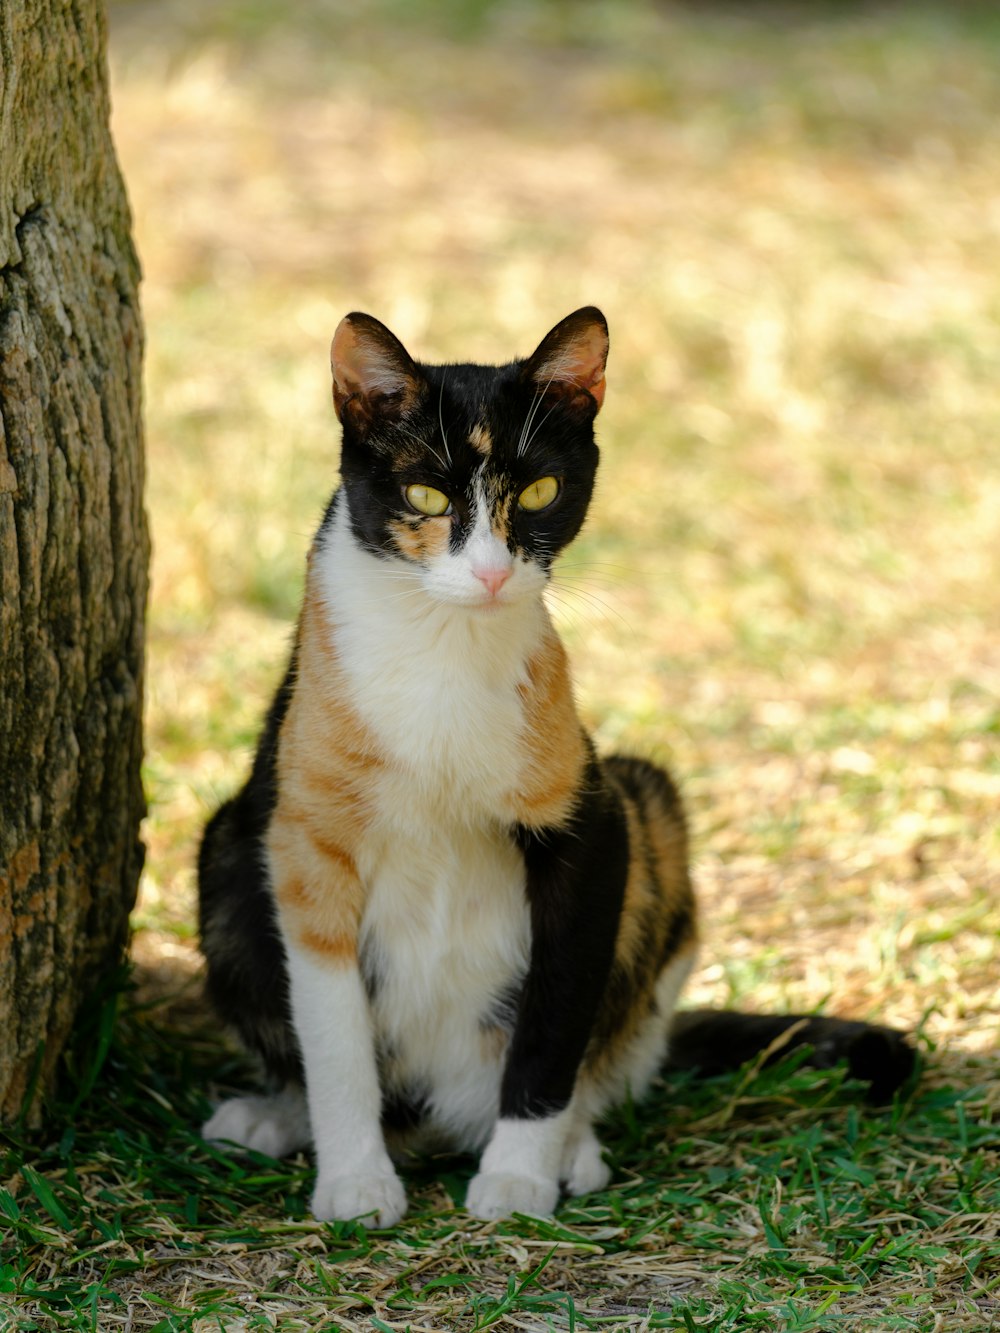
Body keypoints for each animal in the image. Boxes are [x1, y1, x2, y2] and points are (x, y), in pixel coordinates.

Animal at [197, 306, 917, 1221]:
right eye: (426, 495)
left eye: (539, 491)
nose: (491, 573)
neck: (443, 647)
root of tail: (443, 1114)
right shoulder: (306, 841)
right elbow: (332, 1033)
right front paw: (356, 1181)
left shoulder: (593, 831)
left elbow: (556, 1014)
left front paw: (520, 1174)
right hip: (226, 844)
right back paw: (277, 1116)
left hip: (649, 802)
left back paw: (571, 1143)